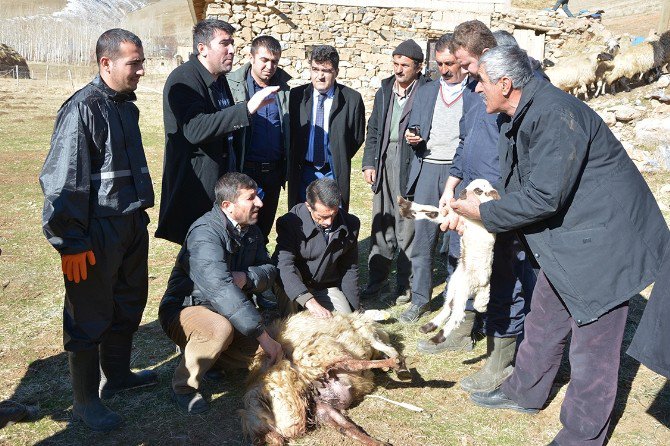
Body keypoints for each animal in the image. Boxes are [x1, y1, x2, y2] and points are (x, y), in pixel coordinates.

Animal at [239, 310, 412, 446]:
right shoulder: (361, 337)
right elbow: (382, 348)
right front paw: (397, 364)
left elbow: (384, 348)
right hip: (321, 367)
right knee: (354, 363)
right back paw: (394, 363)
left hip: (320, 406)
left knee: (346, 428)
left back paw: (379, 443)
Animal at [396, 179, 502, 344]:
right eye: (468, 186)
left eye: (478, 190)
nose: (462, 193)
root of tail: (484, 285)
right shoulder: (453, 217)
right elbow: (433, 211)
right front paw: (405, 206)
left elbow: (435, 213)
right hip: (454, 284)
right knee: (448, 307)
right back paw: (428, 327)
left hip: (464, 288)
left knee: (458, 315)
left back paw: (437, 338)